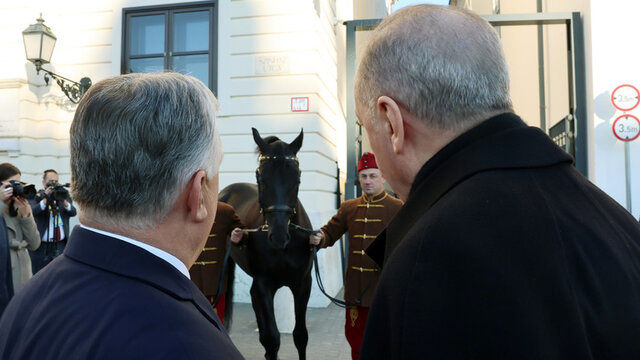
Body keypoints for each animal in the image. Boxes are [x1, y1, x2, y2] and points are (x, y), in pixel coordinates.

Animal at [220, 128, 316, 358]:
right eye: (260, 177)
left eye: (297, 178)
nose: (278, 236)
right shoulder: (264, 284)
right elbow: (273, 338)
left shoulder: (302, 284)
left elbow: (300, 336)